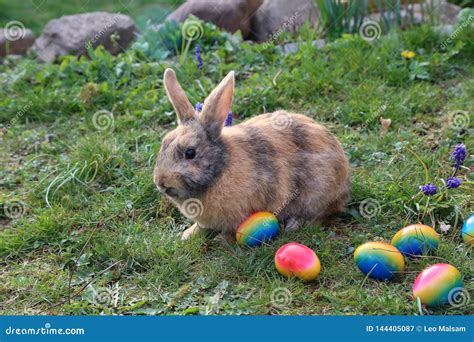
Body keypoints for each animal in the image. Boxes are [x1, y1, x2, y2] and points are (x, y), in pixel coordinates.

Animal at [154, 68, 350, 242]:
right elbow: (201, 226)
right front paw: (187, 235)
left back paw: (295, 224)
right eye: (163, 144)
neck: (221, 168)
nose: (161, 182)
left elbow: (230, 231)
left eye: (190, 153)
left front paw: (221, 240)